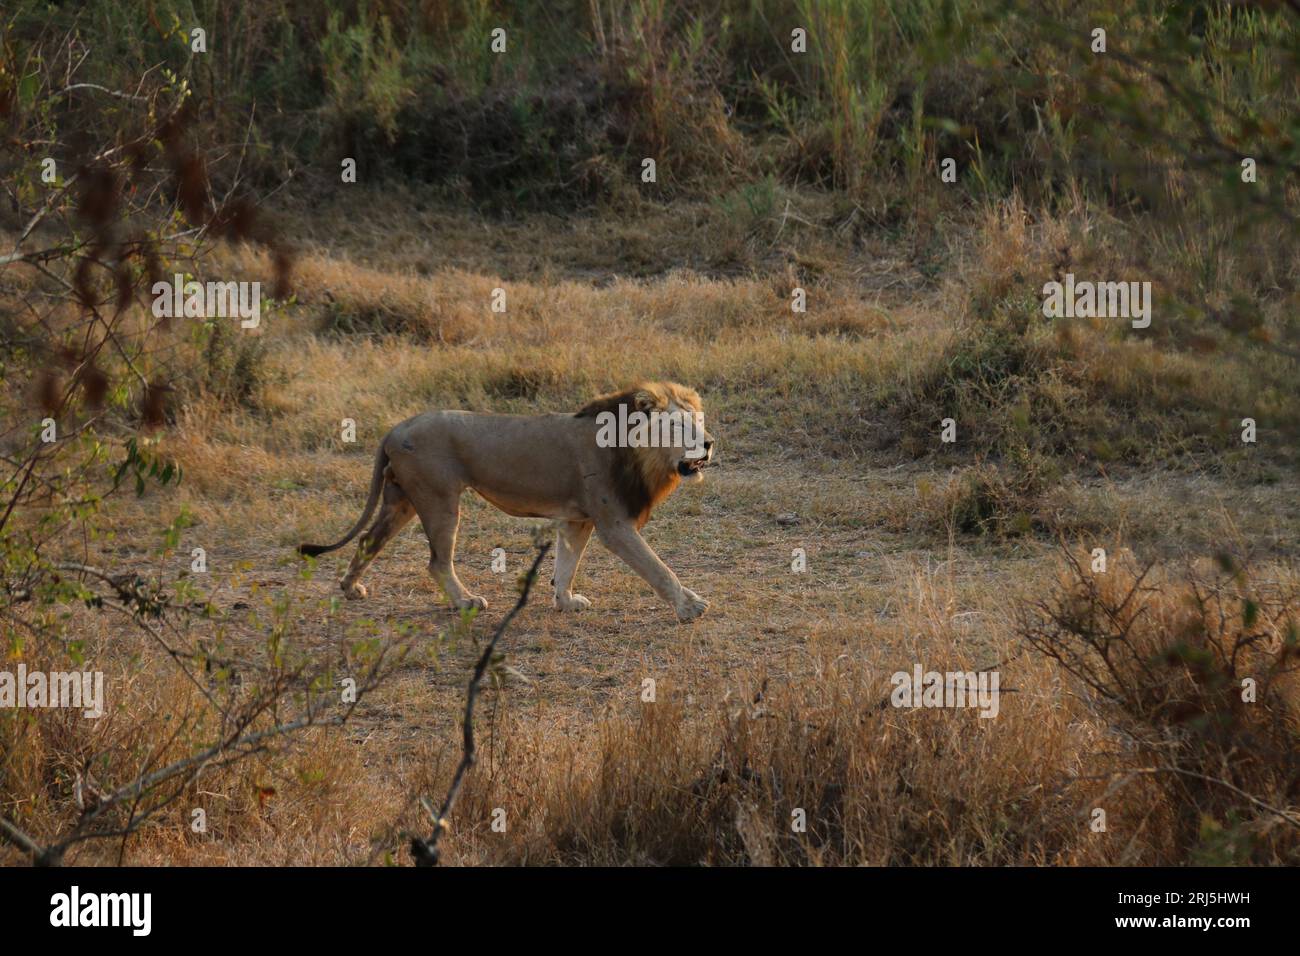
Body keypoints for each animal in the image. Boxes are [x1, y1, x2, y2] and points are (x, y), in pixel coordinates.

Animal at [297, 385, 717, 624]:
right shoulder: (613, 524)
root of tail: (395, 427)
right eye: (677, 426)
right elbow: (657, 567)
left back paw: (350, 587)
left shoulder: (578, 520)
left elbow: (566, 565)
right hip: (439, 499)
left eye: (699, 421)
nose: (710, 443)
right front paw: (689, 607)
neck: (637, 452)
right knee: (437, 562)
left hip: (401, 500)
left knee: (369, 540)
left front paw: (565, 601)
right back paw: (466, 602)